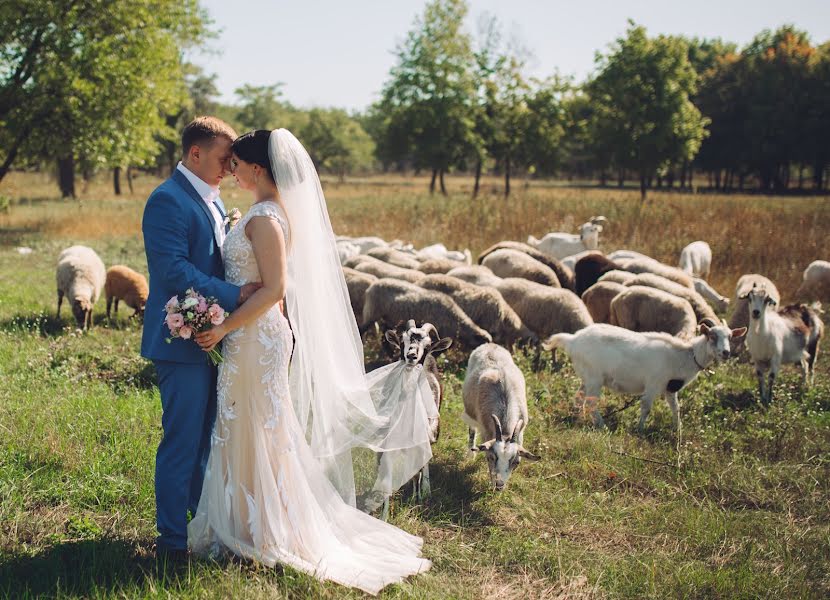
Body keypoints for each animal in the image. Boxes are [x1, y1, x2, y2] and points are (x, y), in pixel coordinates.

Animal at [360, 278, 490, 350]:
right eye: (482, 343)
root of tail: (371, 287)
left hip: (390, 317)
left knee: (385, 337)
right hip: (372, 312)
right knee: (362, 329)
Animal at [464, 342, 544, 492]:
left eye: (516, 462)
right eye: (491, 458)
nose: (499, 485)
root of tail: (490, 344)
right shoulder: (486, 431)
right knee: (472, 430)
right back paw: (470, 454)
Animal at [544, 324, 748, 432]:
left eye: (730, 336)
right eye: (712, 336)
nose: (726, 353)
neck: (685, 355)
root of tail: (572, 340)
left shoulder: (670, 387)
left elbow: (676, 408)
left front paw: (678, 430)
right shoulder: (653, 383)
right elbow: (646, 407)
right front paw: (639, 430)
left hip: (587, 376)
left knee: (579, 397)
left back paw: (577, 418)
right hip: (595, 378)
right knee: (591, 402)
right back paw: (602, 425)